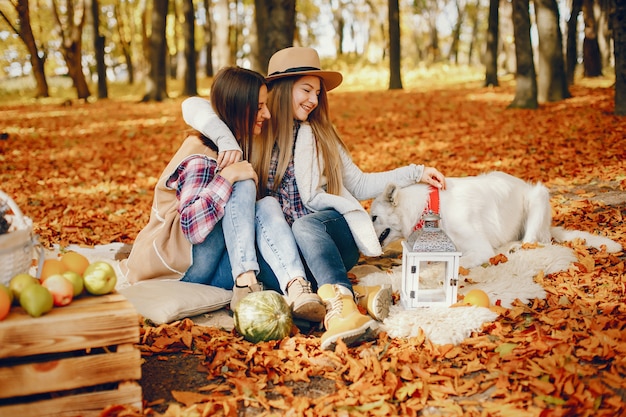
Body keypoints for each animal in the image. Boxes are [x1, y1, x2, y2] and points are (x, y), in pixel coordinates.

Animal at [370, 171, 620, 268]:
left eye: (373, 217)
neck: (430, 207)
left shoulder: (480, 249)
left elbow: (455, 262)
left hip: (537, 196)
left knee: (533, 242)